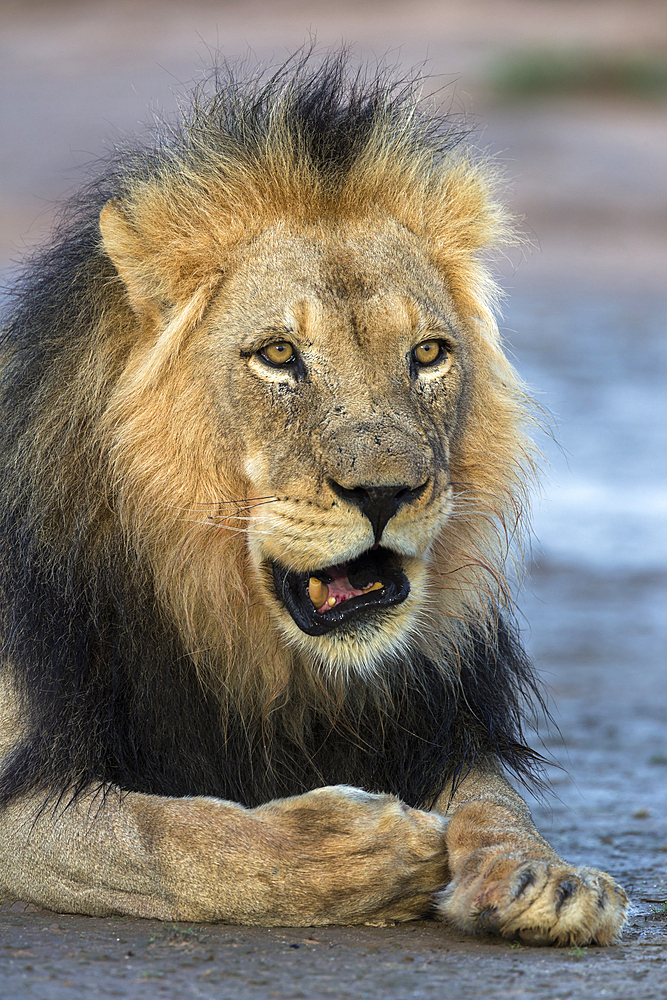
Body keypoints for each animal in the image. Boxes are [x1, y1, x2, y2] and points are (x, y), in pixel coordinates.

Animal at [0, 54, 628, 944]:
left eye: (427, 354)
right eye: (277, 355)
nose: (385, 492)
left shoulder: (435, 726)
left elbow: (493, 805)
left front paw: (547, 876)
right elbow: (164, 831)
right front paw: (365, 849)